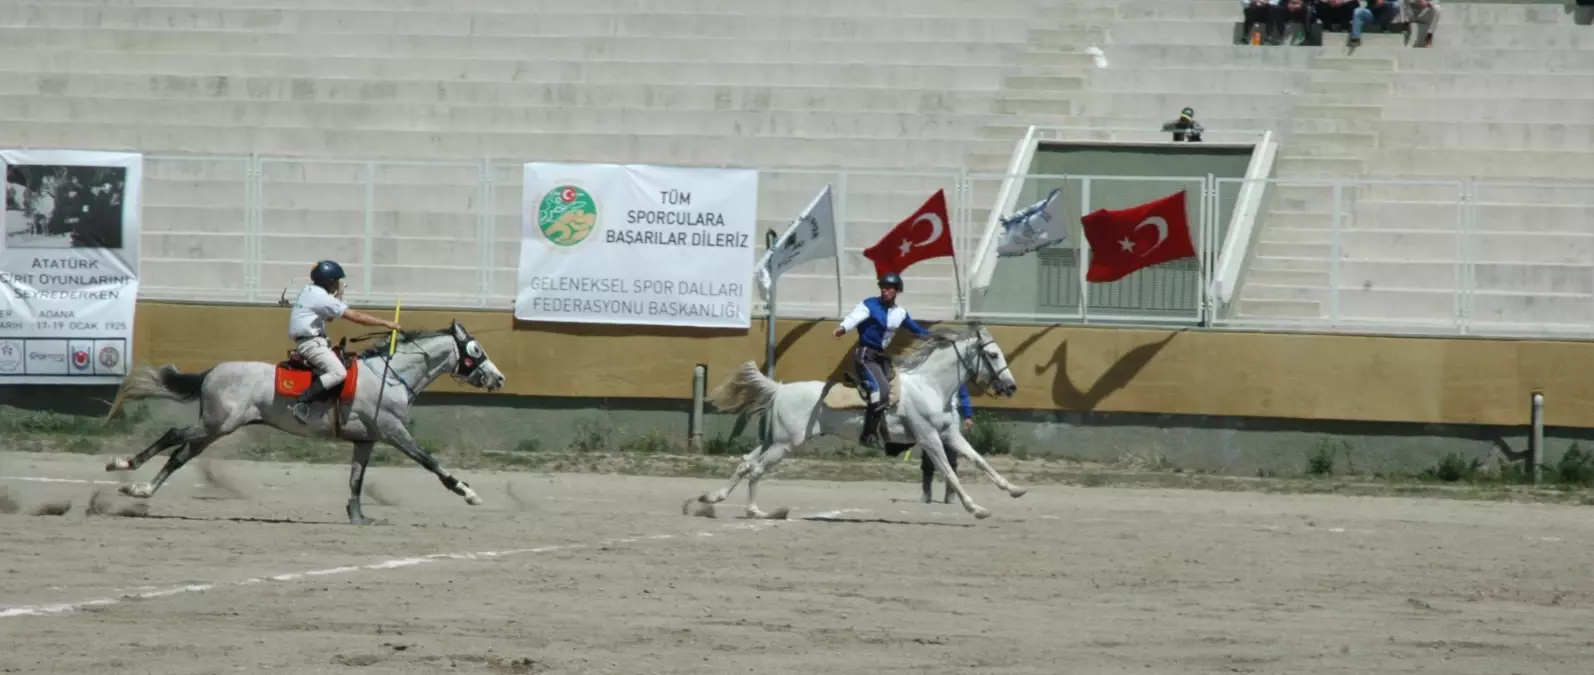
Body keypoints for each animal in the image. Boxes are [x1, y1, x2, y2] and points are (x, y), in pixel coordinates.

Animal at [104, 319, 503, 526]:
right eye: (476, 351)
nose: (499, 379)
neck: (389, 375)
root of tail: (211, 371)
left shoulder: (366, 441)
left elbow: (356, 481)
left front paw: (358, 517)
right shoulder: (394, 432)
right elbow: (431, 463)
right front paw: (468, 492)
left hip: (216, 428)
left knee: (179, 455)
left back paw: (140, 489)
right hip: (217, 424)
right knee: (172, 435)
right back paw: (123, 464)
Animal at [691, 325, 1026, 520]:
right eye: (992, 354)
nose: (1011, 387)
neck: (929, 385)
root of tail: (780, 389)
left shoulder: (949, 434)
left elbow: (980, 461)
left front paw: (1014, 490)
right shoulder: (929, 438)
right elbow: (949, 472)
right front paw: (976, 509)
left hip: (773, 441)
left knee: (746, 462)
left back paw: (712, 498)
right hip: (784, 445)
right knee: (756, 469)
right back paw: (756, 511)